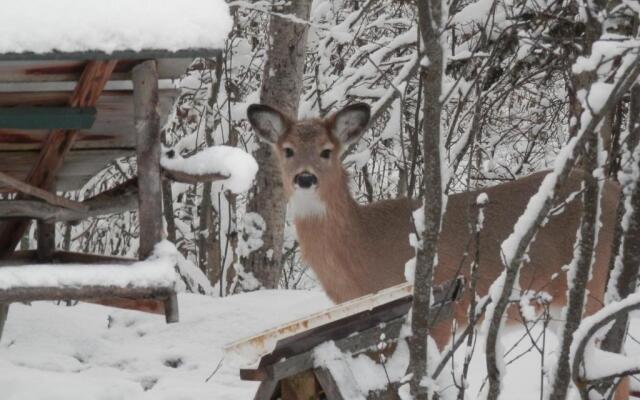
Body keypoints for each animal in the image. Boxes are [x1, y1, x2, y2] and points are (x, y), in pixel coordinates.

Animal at [246, 101, 624, 394]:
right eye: (287, 150)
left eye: (327, 151)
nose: (305, 178)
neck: (362, 251)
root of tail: (615, 190)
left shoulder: (440, 314)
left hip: (590, 286)